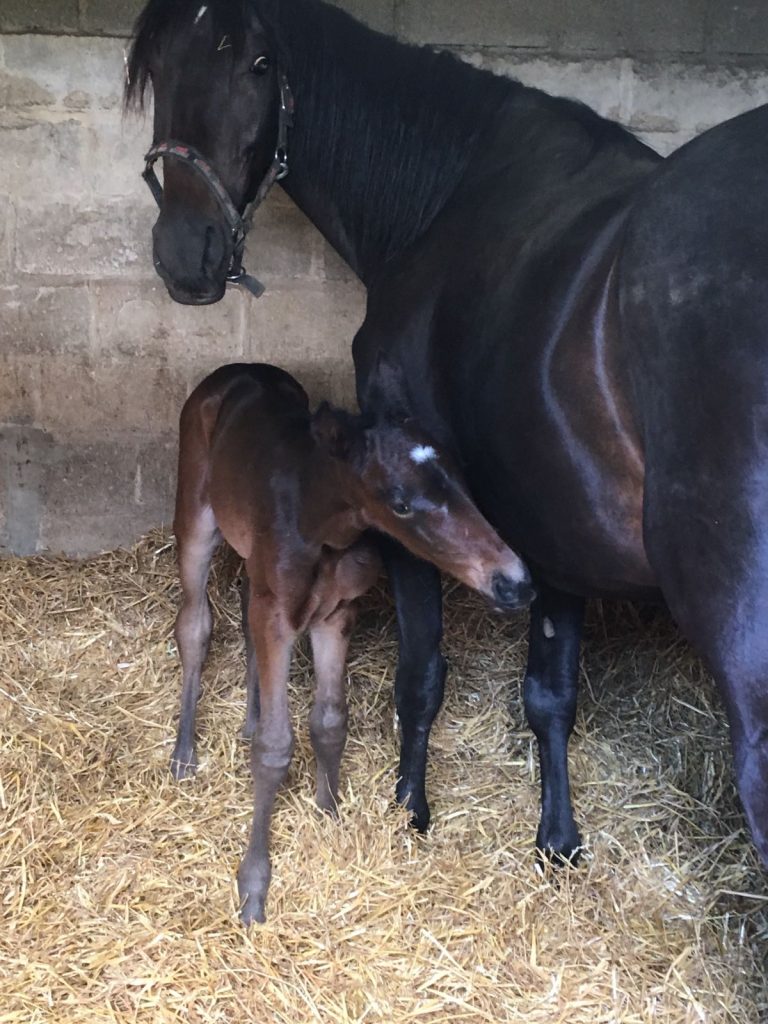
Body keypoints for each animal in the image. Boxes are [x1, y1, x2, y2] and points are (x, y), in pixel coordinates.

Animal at [173, 364, 536, 925]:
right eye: (401, 504)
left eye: (465, 486)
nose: (514, 583)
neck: (319, 521)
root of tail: (234, 370)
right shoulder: (279, 615)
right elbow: (275, 747)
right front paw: (253, 888)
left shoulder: (336, 613)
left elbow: (329, 721)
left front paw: (329, 813)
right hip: (195, 515)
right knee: (194, 625)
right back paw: (184, 753)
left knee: (244, 602)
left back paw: (248, 717)